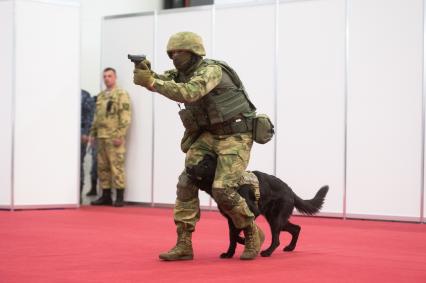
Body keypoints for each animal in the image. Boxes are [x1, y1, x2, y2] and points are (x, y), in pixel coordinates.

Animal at [186, 155, 330, 260]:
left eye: (205, 165)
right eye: (199, 162)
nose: (188, 167)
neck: (229, 185)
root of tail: (290, 190)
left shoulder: (251, 213)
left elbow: (238, 233)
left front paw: (246, 241)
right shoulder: (231, 219)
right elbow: (232, 237)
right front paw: (229, 253)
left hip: (275, 219)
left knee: (277, 239)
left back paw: (267, 252)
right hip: (277, 219)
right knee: (296, 228)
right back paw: (290, 247)